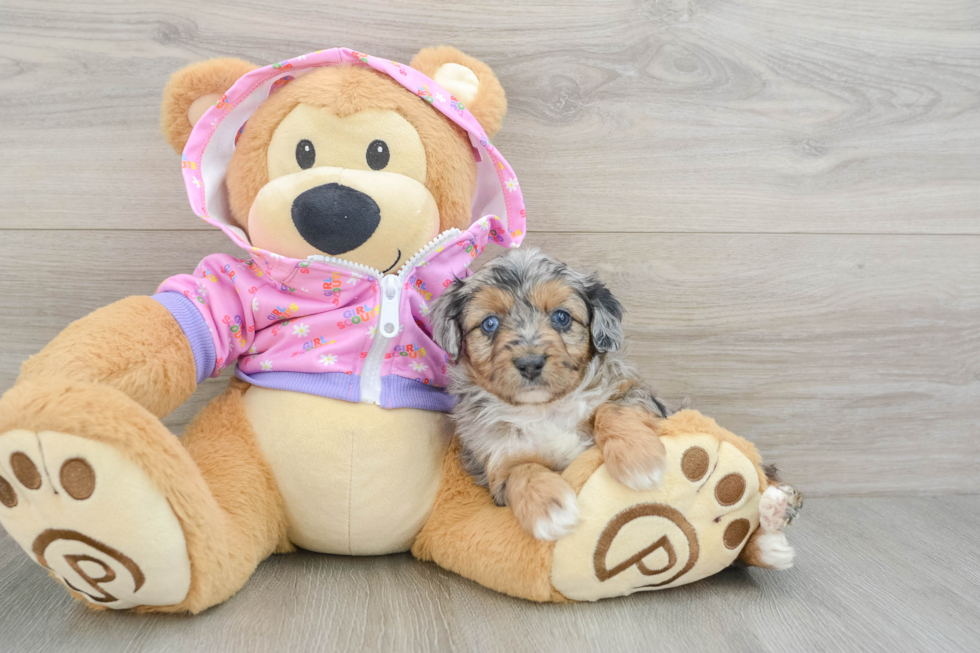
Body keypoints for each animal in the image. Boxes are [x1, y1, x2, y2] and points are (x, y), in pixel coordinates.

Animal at [432, 247, 668, 536]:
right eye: (489, 324)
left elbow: (613, 408)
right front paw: (548, 508)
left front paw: (638, 458)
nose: (530, 363)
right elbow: (521, 469)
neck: (544, 409)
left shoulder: (637, 393)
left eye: (561, 317)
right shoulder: (497, 464)